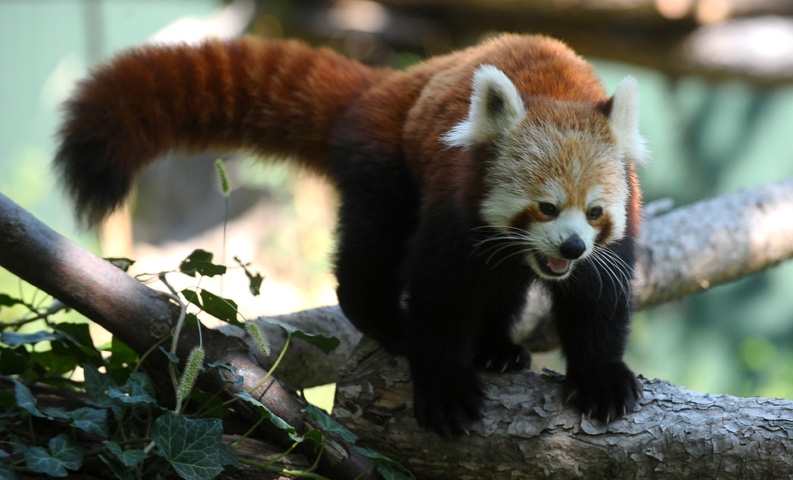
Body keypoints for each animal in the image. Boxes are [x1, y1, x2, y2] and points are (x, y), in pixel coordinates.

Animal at [57, 34, 648, 436]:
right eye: (546, 207)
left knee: (500, 285)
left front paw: (601, 379)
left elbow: (598, 304)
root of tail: (388, 84)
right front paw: (446, 387)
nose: (571, 247)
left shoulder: (610, 242)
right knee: (372, 248)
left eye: (594, 212)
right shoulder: (453, 207)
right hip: (386, 162)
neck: (557, 90)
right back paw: (385, 321)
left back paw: (497, 348)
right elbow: (440, 296)